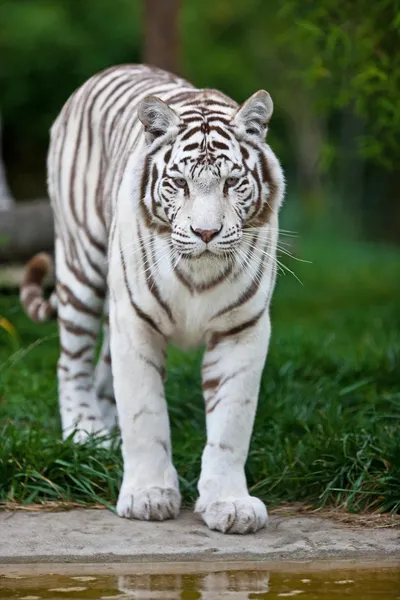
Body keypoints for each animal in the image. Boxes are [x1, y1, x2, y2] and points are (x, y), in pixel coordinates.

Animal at [21, 65, 284, 536]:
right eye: (179, 183)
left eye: (232, 183)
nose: (206, 232)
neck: (199, 274)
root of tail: (110, 69)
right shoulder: (136, 326)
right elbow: (144, 415)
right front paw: (148, 495)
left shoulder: (242, 329)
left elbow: (231, 425)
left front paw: (230, 504)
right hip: (81, 266)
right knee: (72, 363)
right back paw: (85, 435)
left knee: (102, 377)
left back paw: (105, 436)